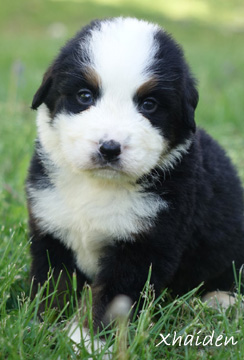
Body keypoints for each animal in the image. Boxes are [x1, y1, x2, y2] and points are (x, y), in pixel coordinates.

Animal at [26, 17, 244, 330]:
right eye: (84, 96)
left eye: (149, 104)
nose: (109, 148)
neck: (97, 187)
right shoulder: (51, 228)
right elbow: (54, 285)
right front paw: (43, 325)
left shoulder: (145, 247)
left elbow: (113, 300)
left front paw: (87, 338)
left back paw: (220, 300)